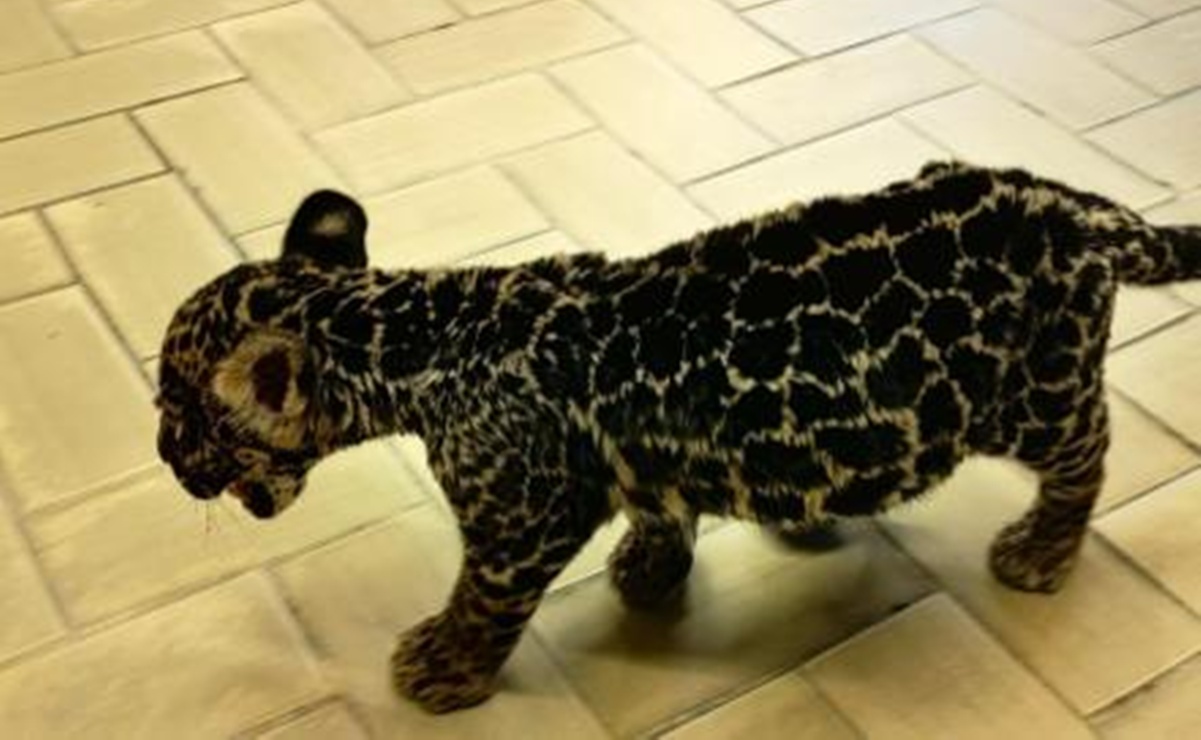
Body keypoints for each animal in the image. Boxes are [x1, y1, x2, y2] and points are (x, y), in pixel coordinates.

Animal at [155, 161, 1201, 713]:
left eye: (179, 410)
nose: (166, 459)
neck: (415, 337)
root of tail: (1077, 205)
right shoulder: (639, 454)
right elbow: (658, 506)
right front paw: (649, 569)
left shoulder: (518, 524)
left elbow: (482, 599)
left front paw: (441, 667)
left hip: (1038, 391)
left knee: (1088, 453)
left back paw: (1039, 551)